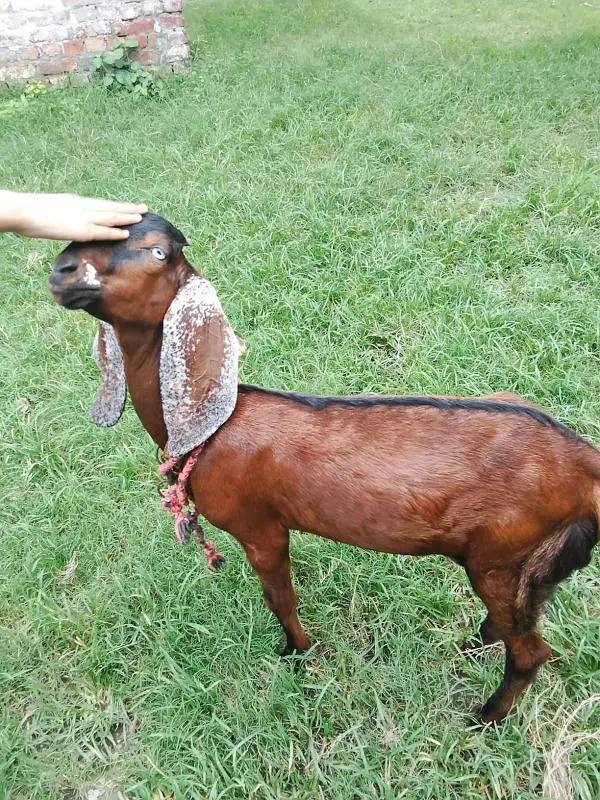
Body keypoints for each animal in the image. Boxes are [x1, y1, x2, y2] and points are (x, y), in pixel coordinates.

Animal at [48, 212, 599, 723]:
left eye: (159, 253)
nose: (62, 269)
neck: (217, 427)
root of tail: (584, 461)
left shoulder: (260, 527)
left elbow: (279, 597)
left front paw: (298, 653)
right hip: (531, 562)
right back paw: (473, 646)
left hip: (500, 555)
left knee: (531, 652)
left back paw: (482, 719)